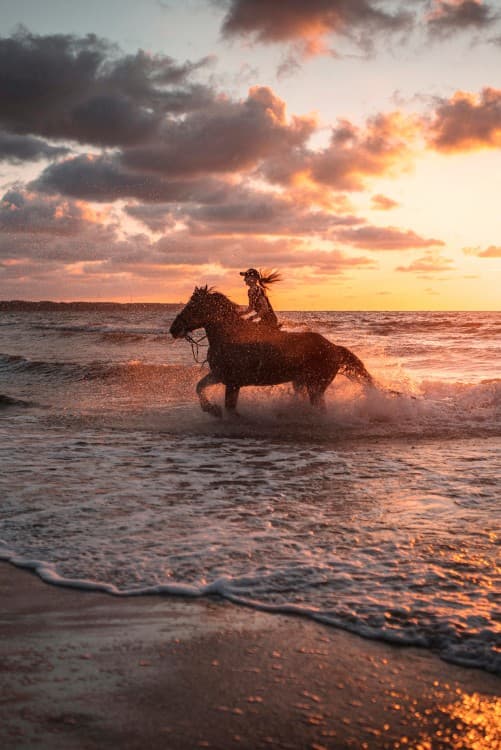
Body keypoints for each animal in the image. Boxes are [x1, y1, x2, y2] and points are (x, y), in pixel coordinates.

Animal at [170, 286, 375, 418]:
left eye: (193, 306)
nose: (173, 329)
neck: (229, 336)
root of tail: (334, 348)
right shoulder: (220, 375)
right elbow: (200, 387)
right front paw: (212, 410)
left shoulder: (233, 383)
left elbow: (230, 408)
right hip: (301, 383)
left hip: (316, 386)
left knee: (320, 408)